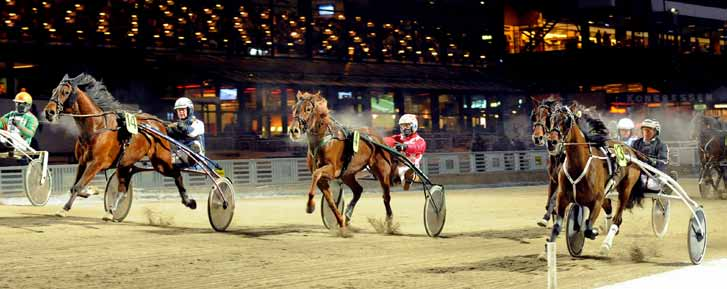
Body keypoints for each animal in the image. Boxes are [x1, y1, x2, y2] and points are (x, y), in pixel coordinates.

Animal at [44, 73, 198, 217]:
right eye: (53, 90)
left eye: (65, 92)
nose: (49, 112)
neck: (96, 127)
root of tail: (158, 123)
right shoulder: (82, 162)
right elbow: (74, 186)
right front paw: (90, 191)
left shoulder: (97, 163)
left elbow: (78, 186)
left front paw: (64, 209)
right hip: (126, 164)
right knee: (123, 189)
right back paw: (111, 211)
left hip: (160, 162)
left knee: (177, 174)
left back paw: (189, 201)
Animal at [288, 90, 398, 230]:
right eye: (294, 109)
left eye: (308, 109)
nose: (294, 130)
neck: (324, 140)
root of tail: (378, 138)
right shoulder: (324, 179)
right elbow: (330, 201)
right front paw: (340, 223)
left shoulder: (331, 169)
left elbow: (316, 174)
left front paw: (310, 206)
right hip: (347, 174)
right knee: (358, 190)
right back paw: (347, 216)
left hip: (382, 171)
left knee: (386, 196)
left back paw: (389, 224)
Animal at [548, 103, 644, 254]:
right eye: (551, 119)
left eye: (566, 121)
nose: (551, 142)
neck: (578, 166)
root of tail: (630, 150)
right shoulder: (562, 198)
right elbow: (556, 228)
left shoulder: (596, 201)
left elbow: (587, 229)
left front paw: (593, 232)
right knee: (609, 205)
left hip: (625, 190)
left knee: (617, 218)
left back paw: (606, 244)